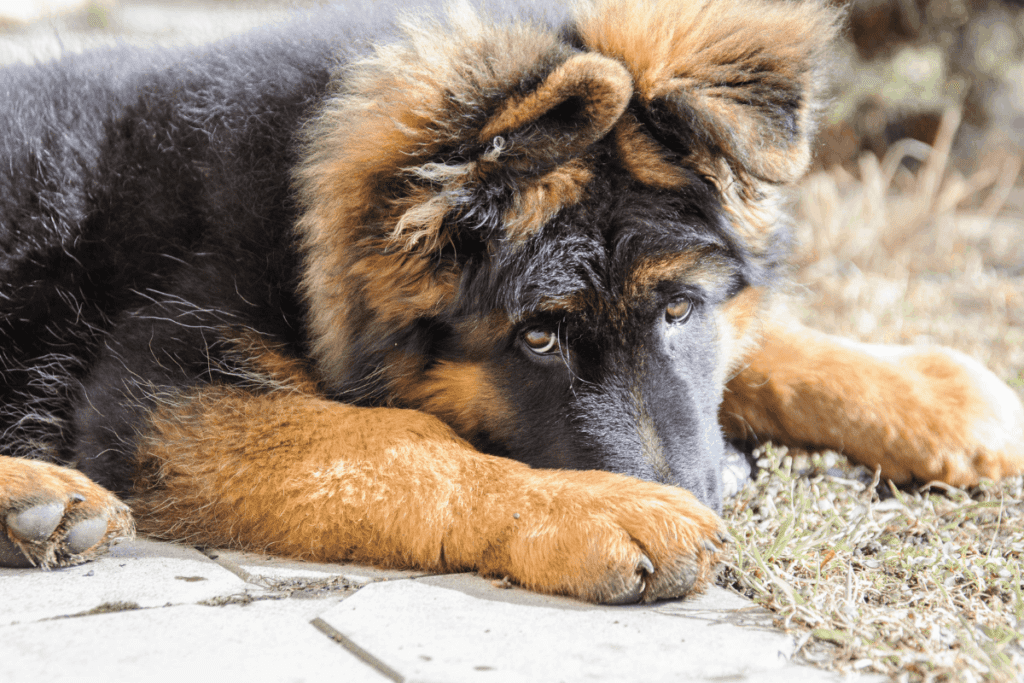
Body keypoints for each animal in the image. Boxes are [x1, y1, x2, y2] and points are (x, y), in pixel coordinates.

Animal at [2, 0, 1024, 606]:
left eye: (680, 311)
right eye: (536, 338)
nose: (708, 496)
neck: (291, 202)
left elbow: (762, 345)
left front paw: (935, 393)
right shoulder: (160, 390)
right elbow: (399, 442)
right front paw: (595, 509)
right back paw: (41, 498)